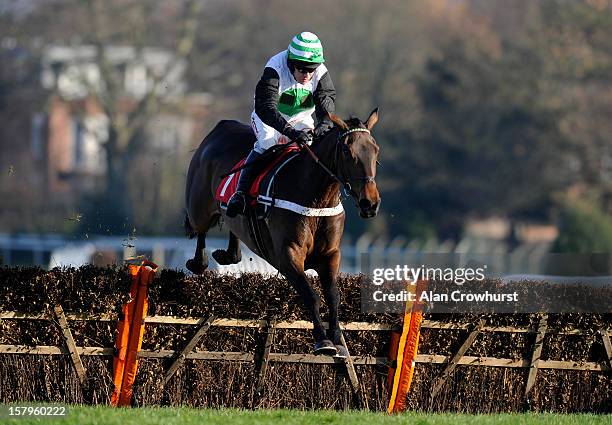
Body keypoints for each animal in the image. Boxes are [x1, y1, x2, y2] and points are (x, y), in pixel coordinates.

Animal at [184, 109, 380, 354]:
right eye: (347, 151)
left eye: (375, 150)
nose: (370, 203)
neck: (315, 197)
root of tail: (220, 127)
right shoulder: (288, 254)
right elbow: (311, 295)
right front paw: (322, 340)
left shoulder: (331, 254)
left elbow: (334, 296)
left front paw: (336, 339)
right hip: (198, 207)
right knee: (199, 229)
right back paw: (199, 262)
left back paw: (229, 254)